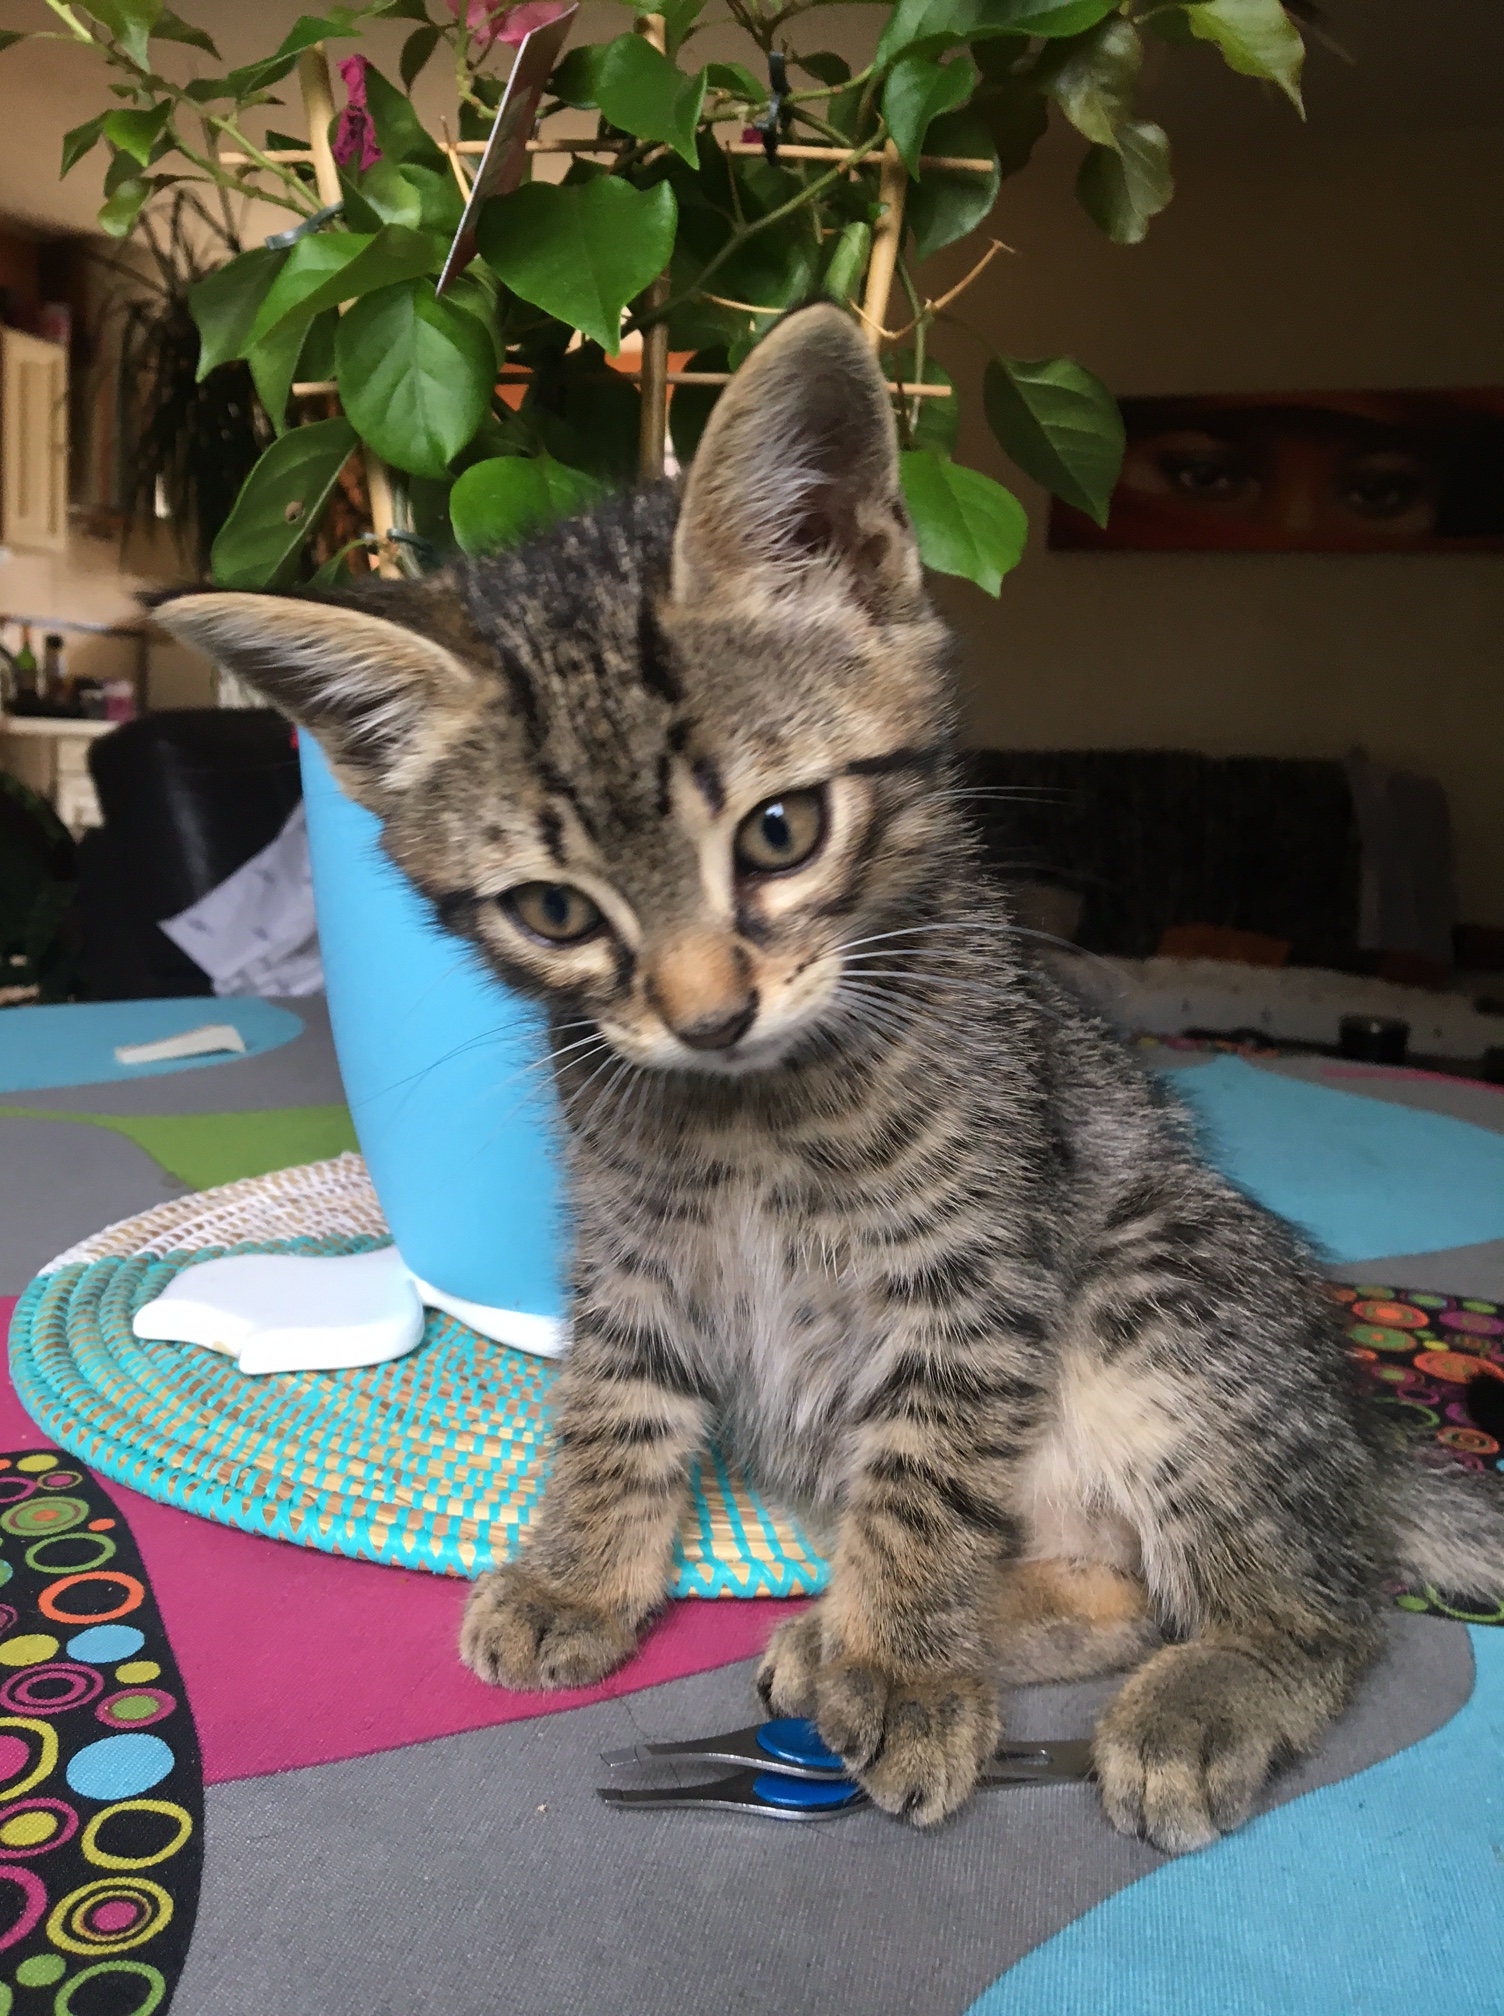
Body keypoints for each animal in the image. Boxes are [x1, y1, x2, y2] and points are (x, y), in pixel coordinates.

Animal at [157, 305, 1504, 1852]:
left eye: (781, 831)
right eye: (554, 912)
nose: (708, 1016)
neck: (752, 1105)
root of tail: (1361, 1445)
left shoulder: (967, 1271)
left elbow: (923, 1477)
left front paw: (901, 1664)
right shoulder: (634, 1250)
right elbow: (614, 1406)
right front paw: (580, 1570)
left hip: (1165, 1284)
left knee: (1318, 1607)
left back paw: (1185, 1689)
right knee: (1116, 1588)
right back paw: (868, 1635)